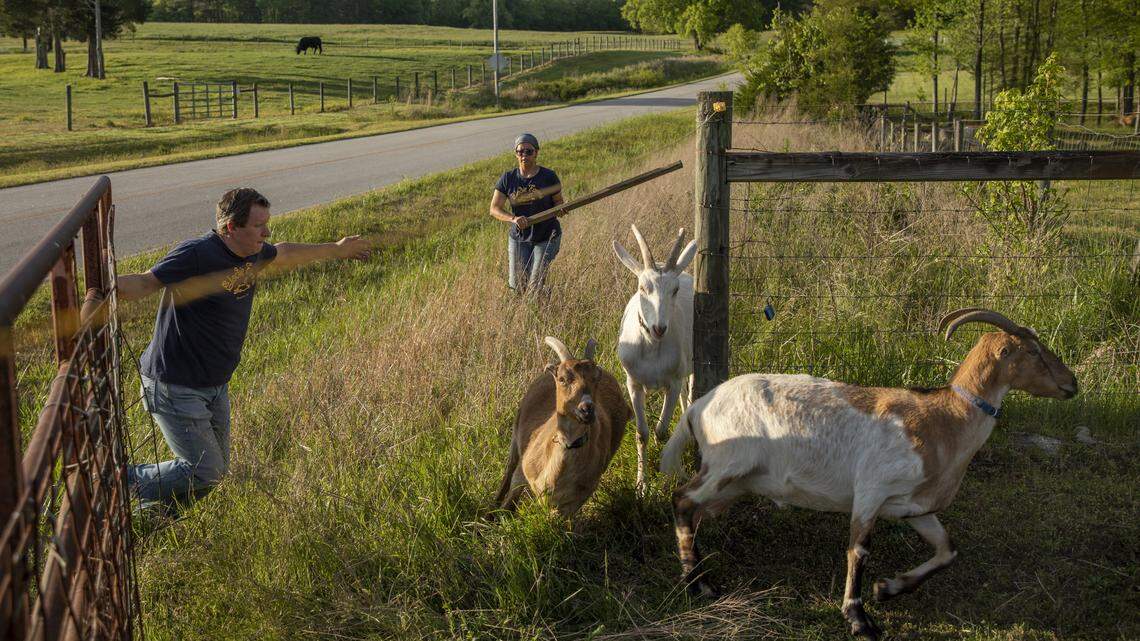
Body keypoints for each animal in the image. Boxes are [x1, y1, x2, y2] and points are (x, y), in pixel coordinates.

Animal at [494, 337, 631, 518]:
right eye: (562, 379)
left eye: (596, 378)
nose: (587, 409)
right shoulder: (522, 474)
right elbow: (510, 500)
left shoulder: (572, 503)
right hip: (516, 437)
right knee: (508, 470)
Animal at [613, 224, 697, 493]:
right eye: (642, 287)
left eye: (675, 290)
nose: (659, 328)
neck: (651, 350)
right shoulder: (633, 383)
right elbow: (642, 433)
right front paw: (641, 486)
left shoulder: (673, 381)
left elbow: (661, 432)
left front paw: (669, 475)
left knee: (689, 394)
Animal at [660, 308, 1078, 640]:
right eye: (1034, 351)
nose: (1071, 384)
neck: (944, 420)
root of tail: (698, 406)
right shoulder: (871, 490)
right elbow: (858, 550)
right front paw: (859, 619)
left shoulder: (914, 505)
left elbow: (947, 549)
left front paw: (888, 588)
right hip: (727, 465)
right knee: (682, 500)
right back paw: (698, 584)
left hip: (735, 483)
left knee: (695, 512)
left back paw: (695, 569)